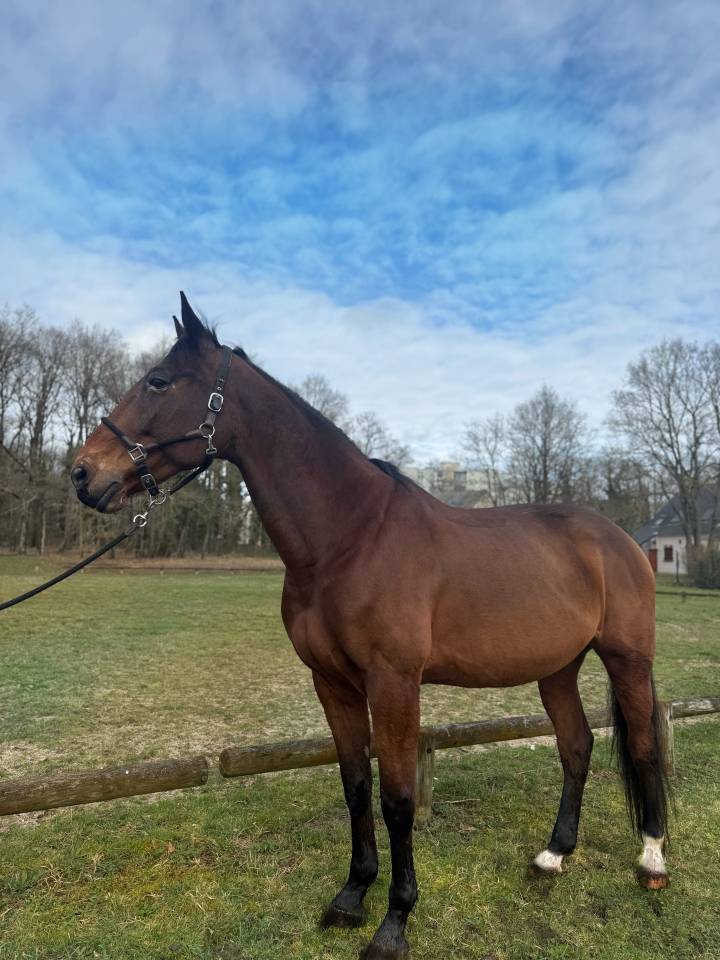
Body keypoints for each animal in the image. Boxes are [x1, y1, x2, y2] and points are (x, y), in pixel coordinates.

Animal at [71, 293, 670, 959]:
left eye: (158, 380)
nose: (83, 474)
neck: (349, 540)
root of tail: (622, 539)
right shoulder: (331, 684)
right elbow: (356, 787)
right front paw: (351, 897)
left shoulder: (394, 684)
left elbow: (397, 799)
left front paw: (394, 923)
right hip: (557, 669)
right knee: (576, 746)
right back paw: (552, 856)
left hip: (627, 658)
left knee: (642, 744)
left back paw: (651, 861)